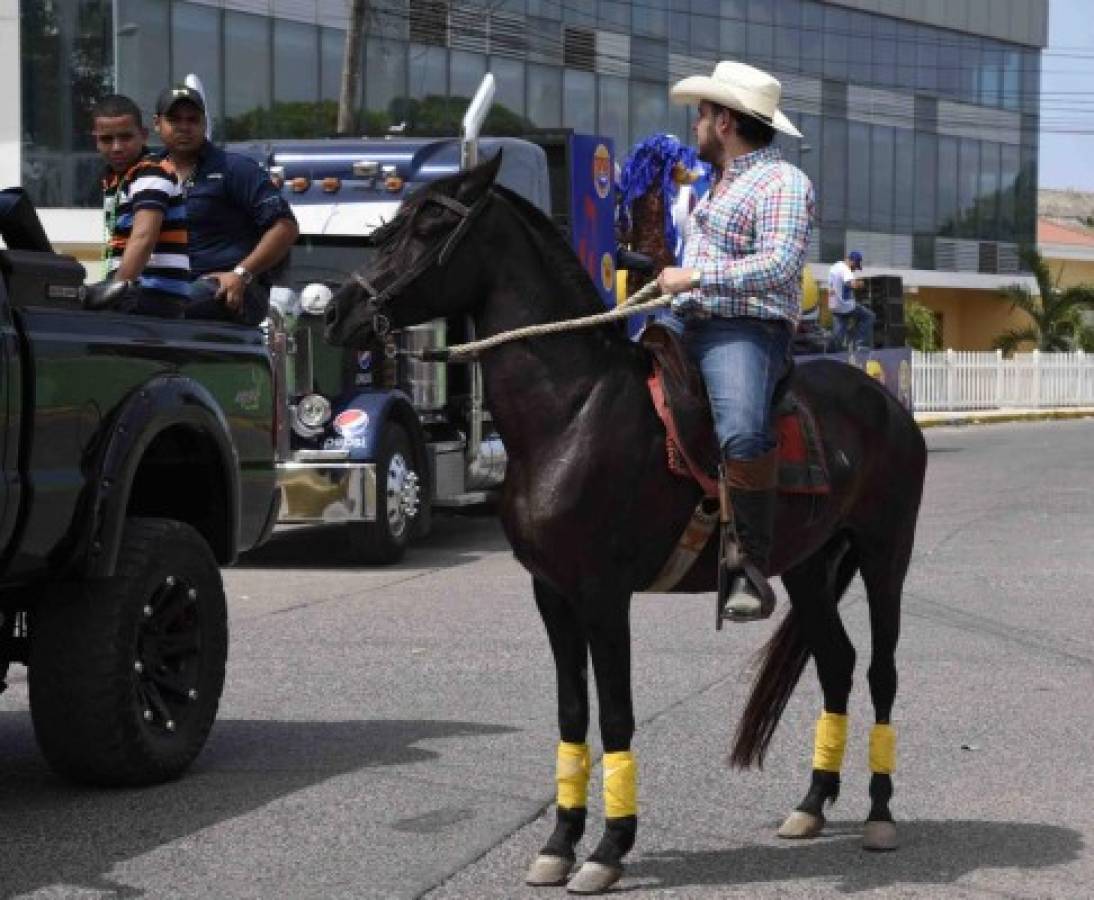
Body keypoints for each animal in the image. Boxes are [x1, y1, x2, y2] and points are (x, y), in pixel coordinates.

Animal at [321, 156, 923, 892]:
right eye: (391, 224)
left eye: (430, 225)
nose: (336, 310)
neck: (572, 410)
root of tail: (886, 403)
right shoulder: (552, 593)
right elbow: (573, 712)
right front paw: (559, 841)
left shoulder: (604, 595)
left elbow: (615, 714)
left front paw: (608, 849)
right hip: (809, 566)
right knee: (836, 664)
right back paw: (810, 805)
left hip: (885, 553)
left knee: (882, 673)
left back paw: (880, 815)